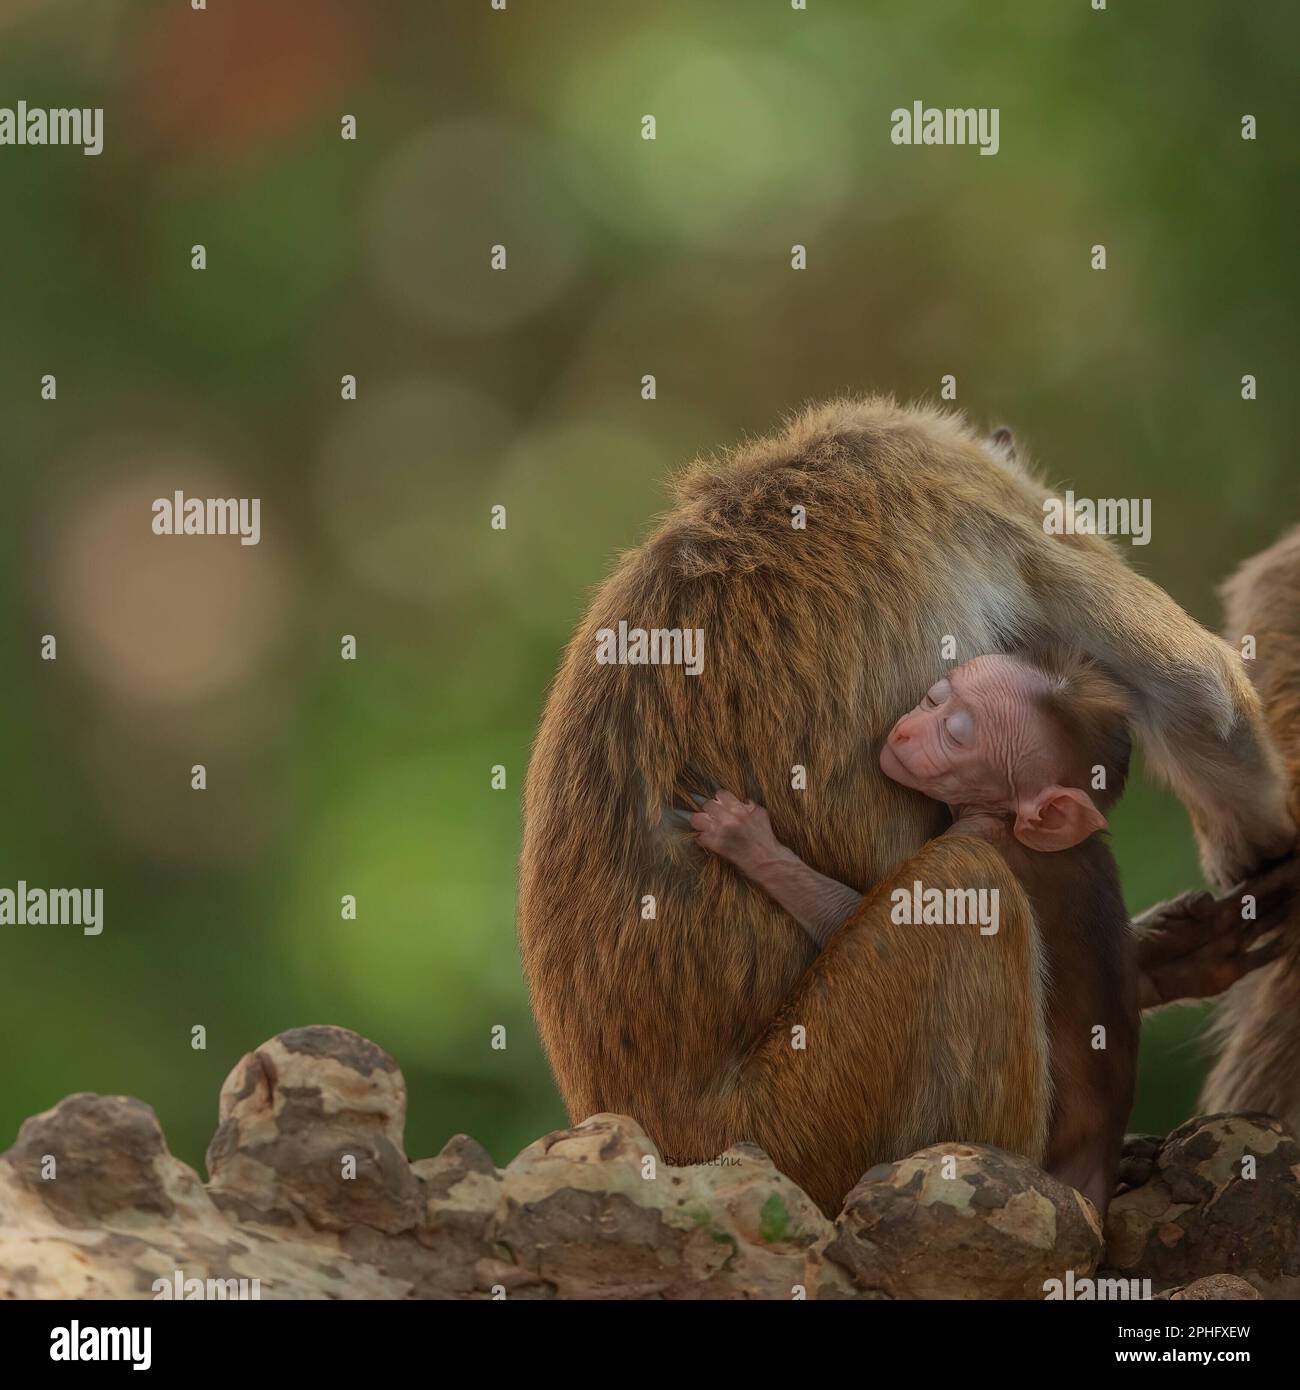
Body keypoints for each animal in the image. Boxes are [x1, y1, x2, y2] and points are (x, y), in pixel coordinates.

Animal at [518, 398, 1297, 1216]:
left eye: (949, 720)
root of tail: (663, 1137)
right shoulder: (968, 486)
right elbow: (1201, 688)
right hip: (800, 1128)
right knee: (967, 879)